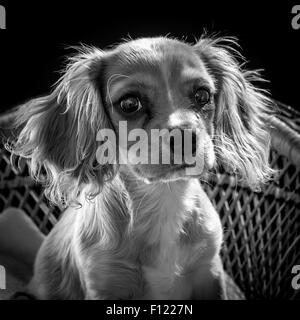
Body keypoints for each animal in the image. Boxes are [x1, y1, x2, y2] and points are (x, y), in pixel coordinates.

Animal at [8, 36, 274, 298]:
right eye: (129, 103)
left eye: (202, 95)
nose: (185, 136)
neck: (165, 198)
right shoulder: (106, 283)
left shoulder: (209, 271)